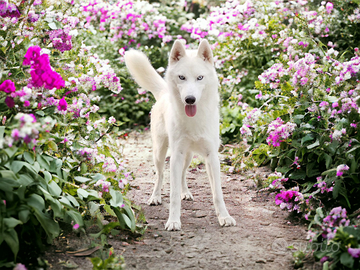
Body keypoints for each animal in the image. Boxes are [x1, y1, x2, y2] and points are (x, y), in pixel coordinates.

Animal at [124, 39, 236, 230]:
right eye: (182, 77)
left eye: (200, 78)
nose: (190, 99)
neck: (194, 119)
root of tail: (163, 93)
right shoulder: (176, 155)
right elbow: (173, 195)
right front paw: (174, 221)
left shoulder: (212, 157)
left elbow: (217, 193)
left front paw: (224, 217)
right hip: (160, 153)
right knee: (160, 175)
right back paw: (155, 197)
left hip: (188, 156)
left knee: (183, 174)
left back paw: (186, 192)